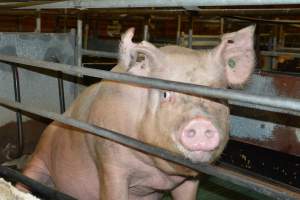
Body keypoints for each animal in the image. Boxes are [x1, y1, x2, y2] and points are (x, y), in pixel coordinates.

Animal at [20, 25, 255, 199]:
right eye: (165, 94)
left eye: (217, 97)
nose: (200, 122)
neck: (157, 174)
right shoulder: (109, 162)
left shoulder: (191, 179)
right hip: (40, 153)